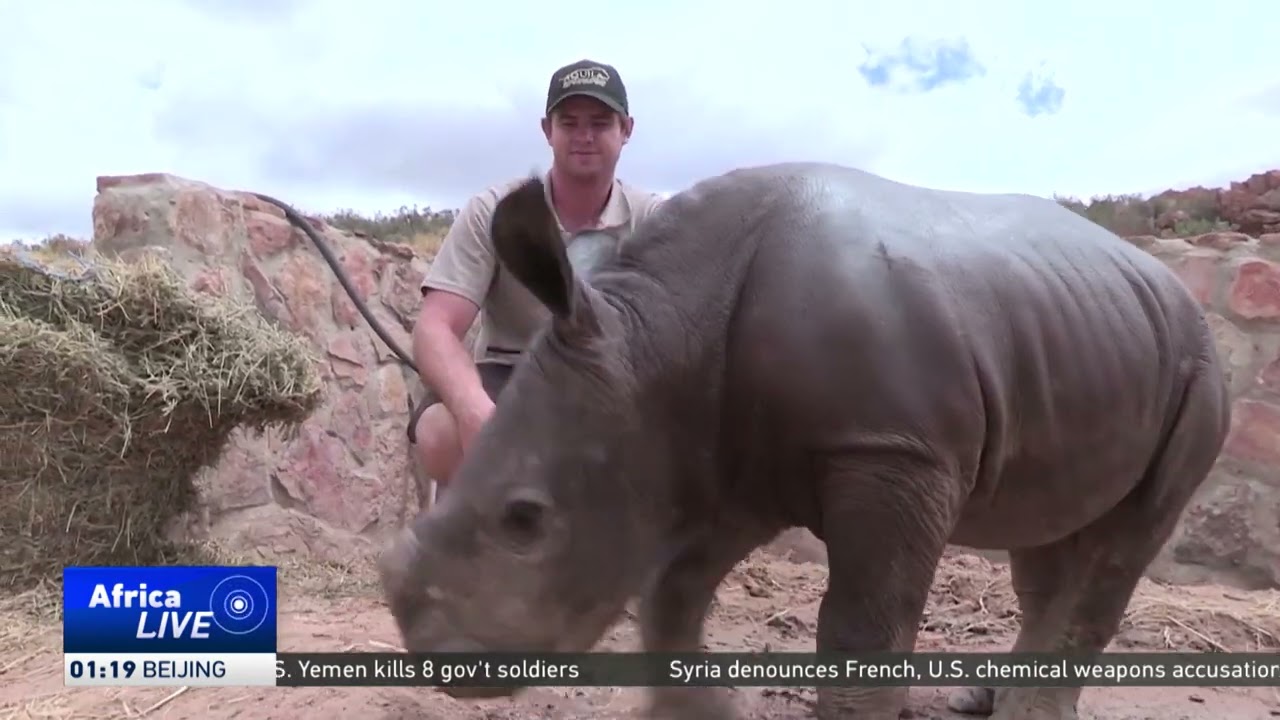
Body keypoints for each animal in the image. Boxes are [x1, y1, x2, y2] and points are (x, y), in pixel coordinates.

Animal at [379, 162, 1231, 720]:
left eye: (525, 520)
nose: (434, 653)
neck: (658, 342)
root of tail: (1171, 286)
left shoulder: (892, 451)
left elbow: (861, 628)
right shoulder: (724, 456)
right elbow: (673, 595)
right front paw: (698, 715)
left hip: (1198, 369)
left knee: (1126, 543)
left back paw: (1031, 712)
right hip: (1080, 335)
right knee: (1047, 534)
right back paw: (984, 698)